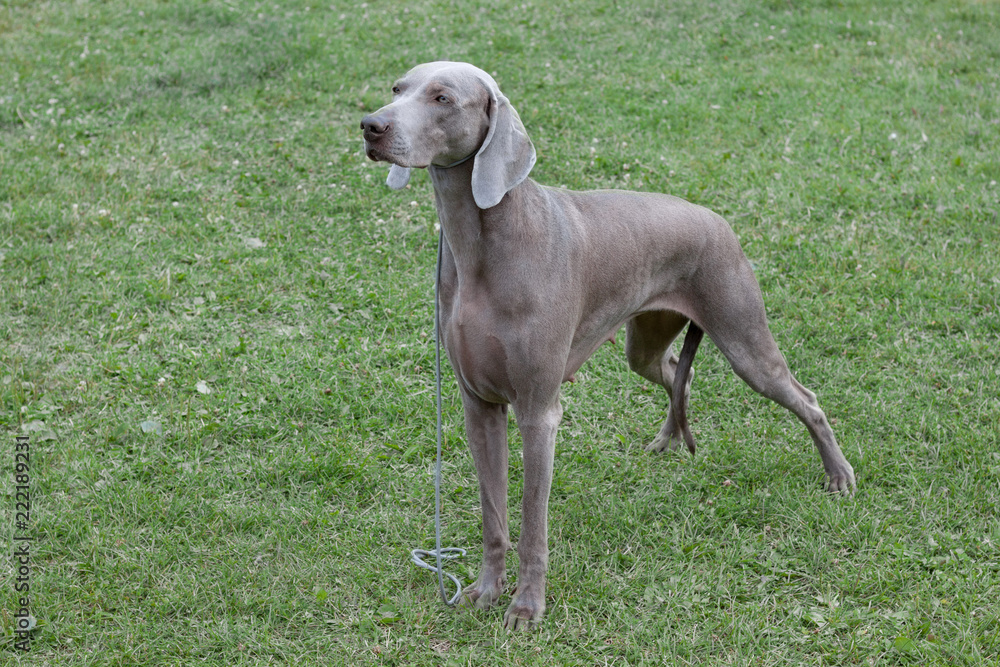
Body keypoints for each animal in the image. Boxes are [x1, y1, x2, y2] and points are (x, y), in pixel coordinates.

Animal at [360, 61, 852, 632]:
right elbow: (493, 514)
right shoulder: (478, 405)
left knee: (805, 398)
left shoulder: (538, 411)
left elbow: (531, 524)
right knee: (676, 372)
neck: (483, 243)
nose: (371, 126)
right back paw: (667, 439)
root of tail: (716, 218)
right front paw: (486, 590)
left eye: (442, 97)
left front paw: (526, 607)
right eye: (397, 89)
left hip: (745, 339)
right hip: (644, 345)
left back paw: (839, 475)